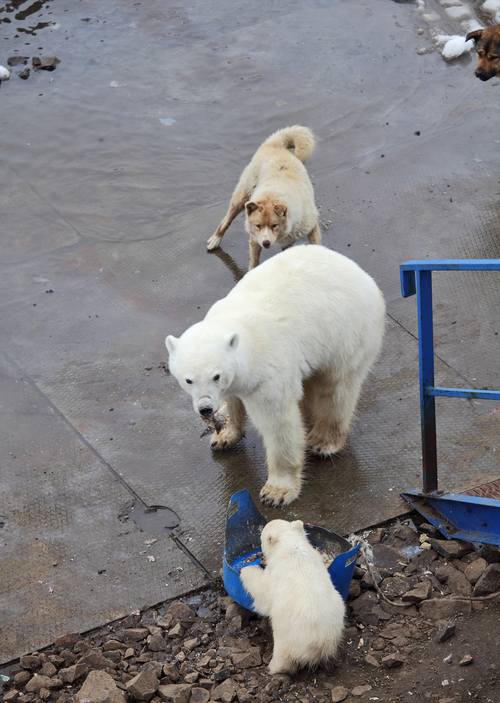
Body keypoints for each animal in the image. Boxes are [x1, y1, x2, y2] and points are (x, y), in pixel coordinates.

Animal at [166, 246, 384, 506]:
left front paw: (277, 492)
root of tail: (360, 272)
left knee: (335, 388)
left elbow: (278, 423)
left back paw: (324, 441)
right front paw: (224, 436)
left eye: (216, 376)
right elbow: (233, 400)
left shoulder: (268, 372)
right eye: (188, 380)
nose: (205, 408)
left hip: (346, 332)